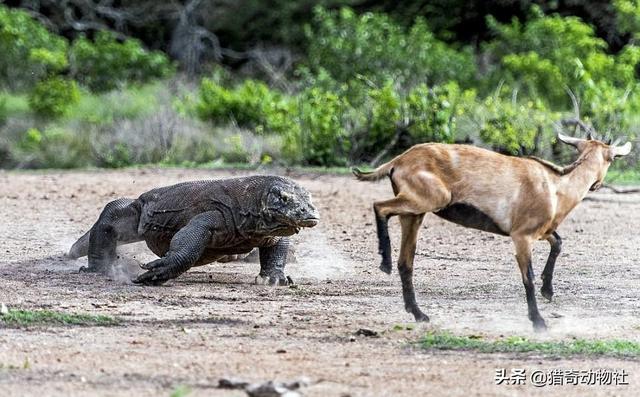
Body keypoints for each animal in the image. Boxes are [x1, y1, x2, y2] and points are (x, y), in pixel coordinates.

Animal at [356, 135, 632, 330]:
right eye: (612, 159)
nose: (596, 185)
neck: (556, 187)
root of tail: (397, 161)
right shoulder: (521, 236)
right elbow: (528, 277)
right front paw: (538, 321)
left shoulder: (542, 231)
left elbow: (558, 243)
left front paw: (548, 291)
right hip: (429, 199)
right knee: (380, 207)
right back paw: (384, 262)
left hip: (415, 214)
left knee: (406, 262)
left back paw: (419, 313)